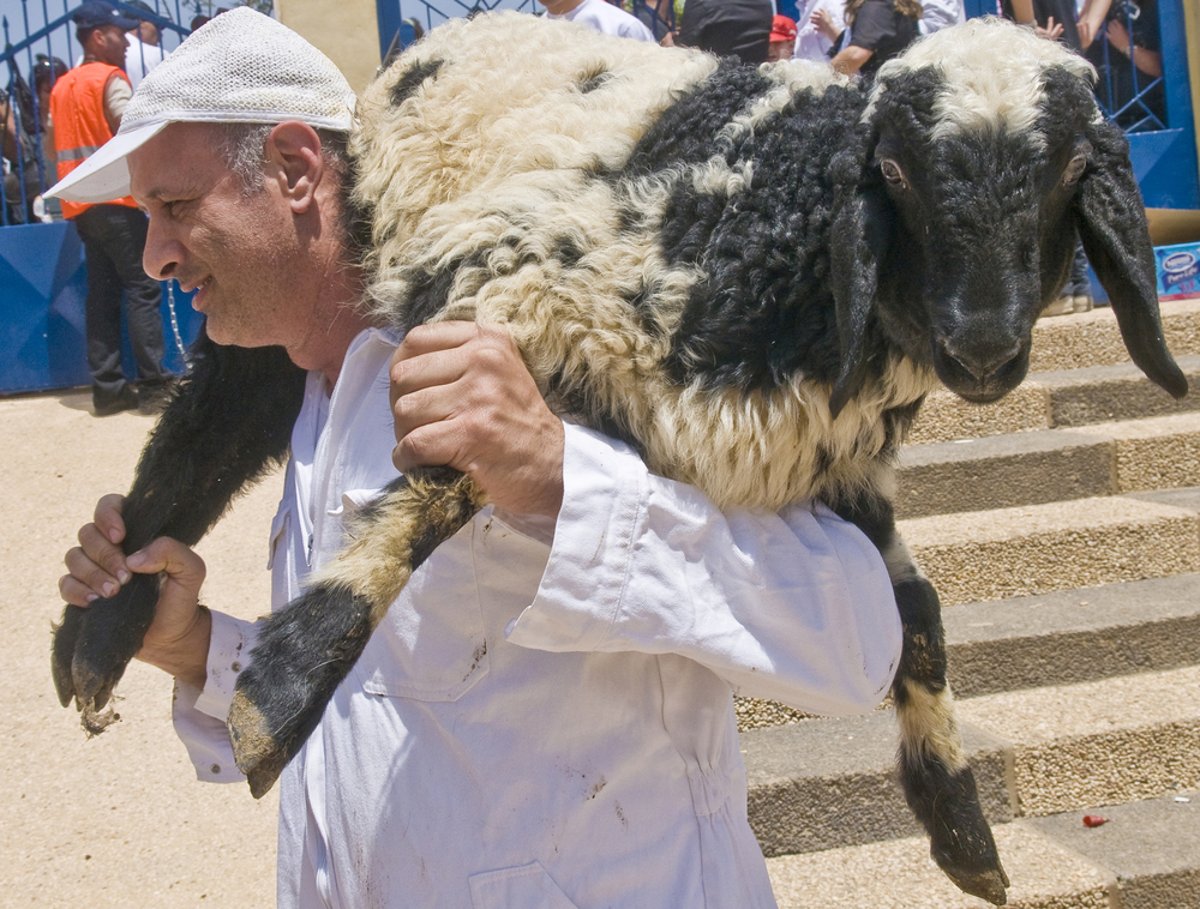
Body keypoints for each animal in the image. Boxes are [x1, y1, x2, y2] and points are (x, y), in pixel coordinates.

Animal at [51, 12, 1185, 906]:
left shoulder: (824, 471)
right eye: (898, 173)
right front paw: (279, 693)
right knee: (208, 423)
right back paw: (98, 631)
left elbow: (911, 614)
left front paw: (961, 827)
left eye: (1072, 173)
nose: (984, 348)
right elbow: (440, 488)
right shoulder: (512, 274)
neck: (783, 226)